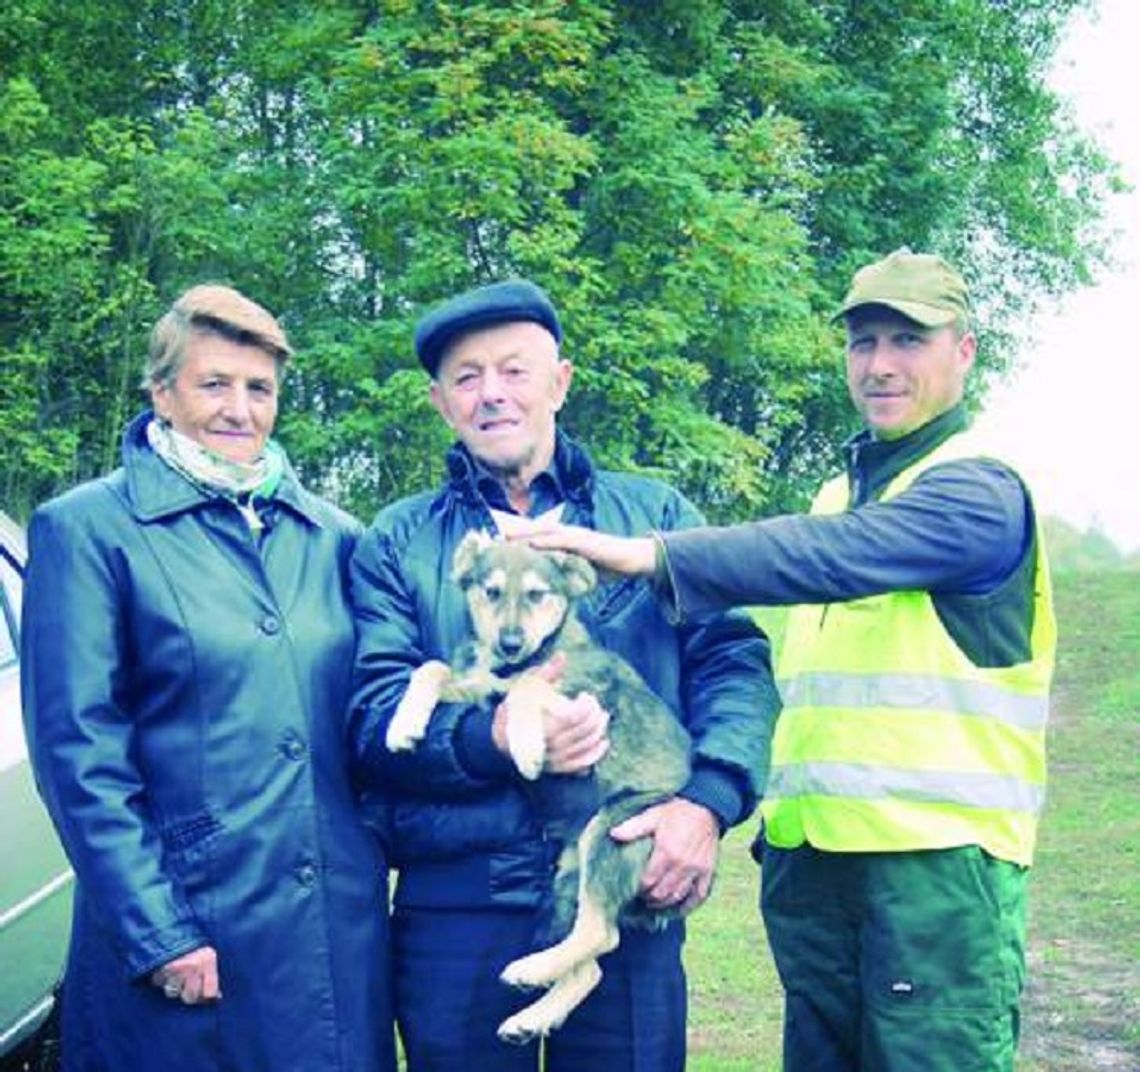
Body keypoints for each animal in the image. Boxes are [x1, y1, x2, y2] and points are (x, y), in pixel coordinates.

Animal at [387, 531, 688, 1044]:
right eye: (490, 591)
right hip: (569, 873)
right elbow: (431, 668)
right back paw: (531, 1015)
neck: (512, 664)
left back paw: (528, 970)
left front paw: (527, 746)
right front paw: (402, 724)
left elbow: (529, 686)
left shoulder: (581, 703)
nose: (510, 643)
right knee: (593, 963)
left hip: (611, 830)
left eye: (536, 594)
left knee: (600, 934)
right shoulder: (479, 687)